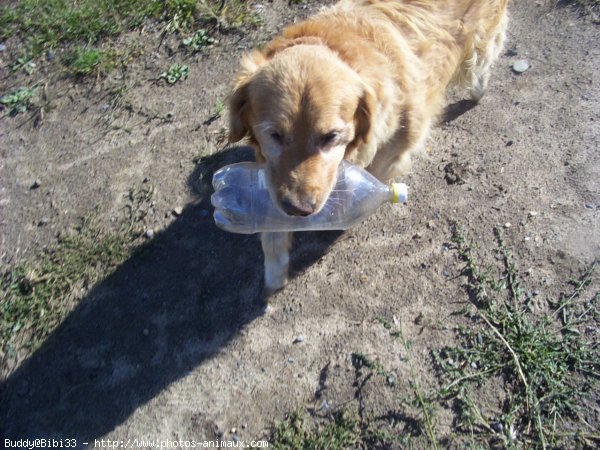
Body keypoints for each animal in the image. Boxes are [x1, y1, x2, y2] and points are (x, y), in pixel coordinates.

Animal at [227, 0, 508, 294]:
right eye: (275, 135)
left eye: (331, 136)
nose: (299, 209)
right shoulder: (272, 173)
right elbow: (269, 217)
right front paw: (274, 265)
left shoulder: (400, 140)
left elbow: (373, 172)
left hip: (478, 48)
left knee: (480, 66)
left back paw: (478, 90)